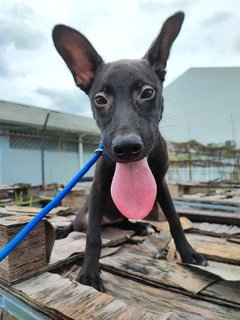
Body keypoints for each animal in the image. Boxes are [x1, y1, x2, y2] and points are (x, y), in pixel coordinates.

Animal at [53, 11, 207, 292]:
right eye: (100, 99)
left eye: (147, 92)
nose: (126, 148)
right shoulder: (99, 185)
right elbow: (93, 238)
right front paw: (89, 272)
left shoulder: (160, 182)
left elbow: (174, 219)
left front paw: (188, 252)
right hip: (86, 214)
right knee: (80, 224)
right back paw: (63, 230)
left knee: (125, 222)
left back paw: (141, 226)